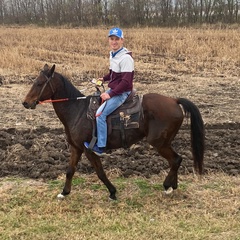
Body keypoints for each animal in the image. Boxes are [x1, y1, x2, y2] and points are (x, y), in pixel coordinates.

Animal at [22, 64, 204, 201]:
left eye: (39, 83)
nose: (25, 103)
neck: (77, 110)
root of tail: (174, 100)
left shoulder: (88, 149)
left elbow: (100, 172)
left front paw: (112, 192)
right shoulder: (76, 147)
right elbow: (70, 170)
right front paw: (64, 192)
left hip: (159, 143)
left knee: (175, 160)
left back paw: (167, 186)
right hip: (165, 142)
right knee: (176, 160)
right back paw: (173, 185)